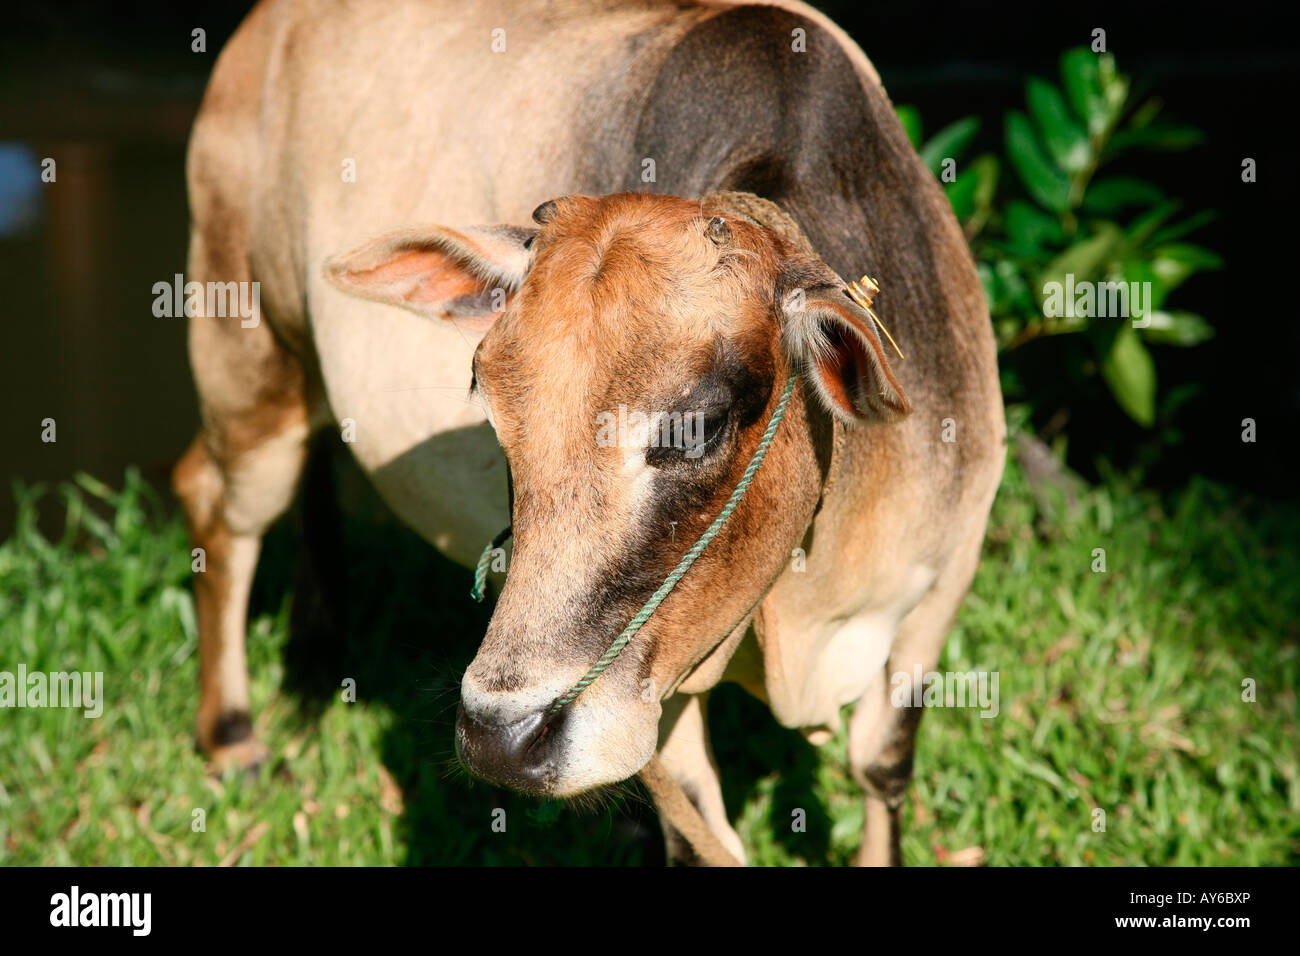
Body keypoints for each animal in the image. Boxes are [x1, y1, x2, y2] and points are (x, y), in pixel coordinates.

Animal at [172, 0, 1003, 868]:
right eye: (492, 409)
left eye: (698, 424)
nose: (500, 737)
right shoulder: (656, 692)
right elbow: (704, 834)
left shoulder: (946, 575)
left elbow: (882, 765)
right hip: (248, 359)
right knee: (215, 503)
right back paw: (233, 736)